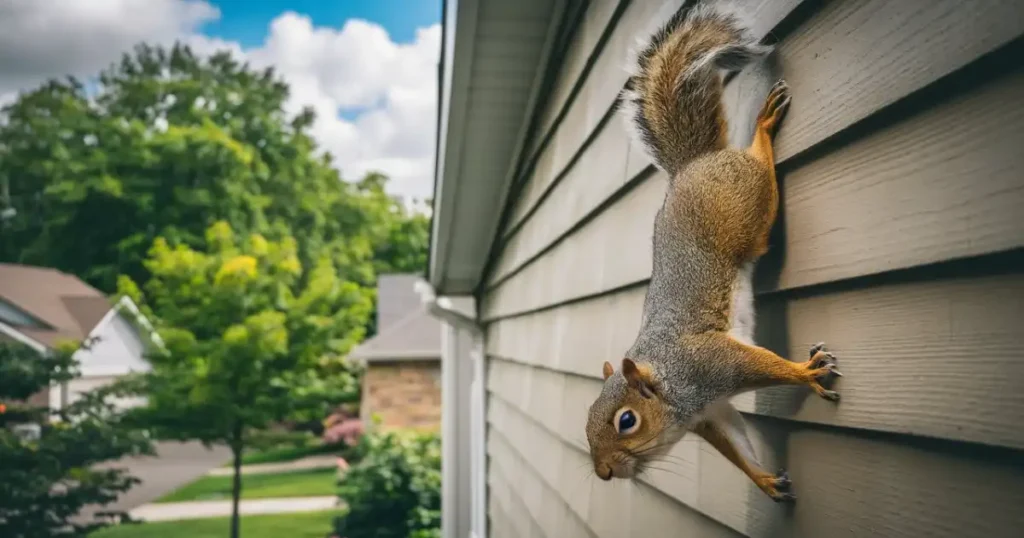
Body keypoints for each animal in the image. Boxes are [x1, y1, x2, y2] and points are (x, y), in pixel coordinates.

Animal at [585, 1, 839, 504]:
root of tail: (692, 164)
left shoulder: (713, 365)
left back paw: (763, 127)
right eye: (586, 423)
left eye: (627, 421)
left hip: (746, 209)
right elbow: (736, 447)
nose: (603, 473)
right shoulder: (712, 415)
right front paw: (765, 481)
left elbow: (766, 366)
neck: (671, 388)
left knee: (759, 170)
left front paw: (805, 371)